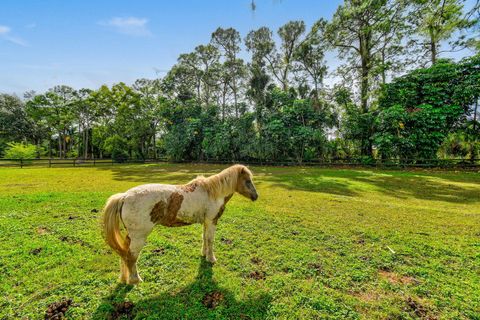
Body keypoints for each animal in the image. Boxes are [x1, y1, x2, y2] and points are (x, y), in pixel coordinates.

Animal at [102, 165, 258, 284]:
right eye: (247, 181)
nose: (256, 196)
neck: (212, 192)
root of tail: (124, 197)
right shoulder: (212, 221)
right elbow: (210, 240)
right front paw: (211, 259)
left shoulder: (206, 222)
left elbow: (204, 238)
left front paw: (204, 255)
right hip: (139, 237)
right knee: (131, 257)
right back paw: (136, 280)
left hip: (130, 237)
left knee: (124, 254)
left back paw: (124, 279)